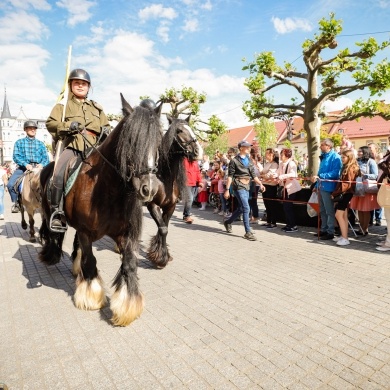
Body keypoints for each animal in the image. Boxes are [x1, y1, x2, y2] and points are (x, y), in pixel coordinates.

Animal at [38, 96, 163, 328]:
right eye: (130, 140)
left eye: (158, 142)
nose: (149, 189)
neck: (108, 188)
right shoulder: (86, 232)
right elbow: (90, 261)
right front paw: (91, 295)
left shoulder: (125, 235)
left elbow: (129, 265)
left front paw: (127, 306)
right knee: (53, 236)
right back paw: (51, 255)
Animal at [145, 114, 201, 268]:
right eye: (179, 131)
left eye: (191, 129)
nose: (197, 151)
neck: (163, 178)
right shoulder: (152, 205)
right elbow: (163, 229)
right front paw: (160, 259)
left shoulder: (170, 206)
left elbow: (164, 228)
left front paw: (162, 254)